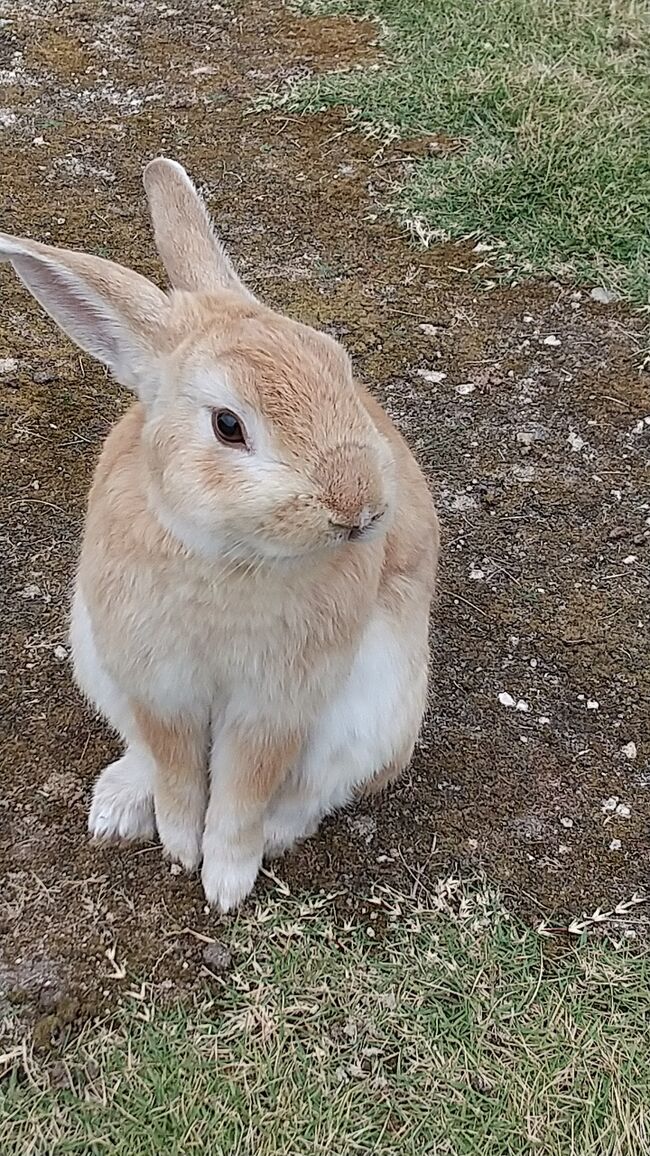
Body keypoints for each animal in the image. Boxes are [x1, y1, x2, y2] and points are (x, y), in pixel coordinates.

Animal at [1, 158, 439, 906]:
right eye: (228, 425)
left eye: (338, 363)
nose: (359, 508)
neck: (228, 557)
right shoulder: (158, 684)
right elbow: (178, 771)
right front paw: (181, 849)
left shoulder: (273, 706)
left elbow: (243, 788)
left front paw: (226, 881)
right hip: (97, 661)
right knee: (142, 755)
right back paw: (118, 809)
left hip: (375, 717)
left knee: (311, 794)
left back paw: (274, 837)